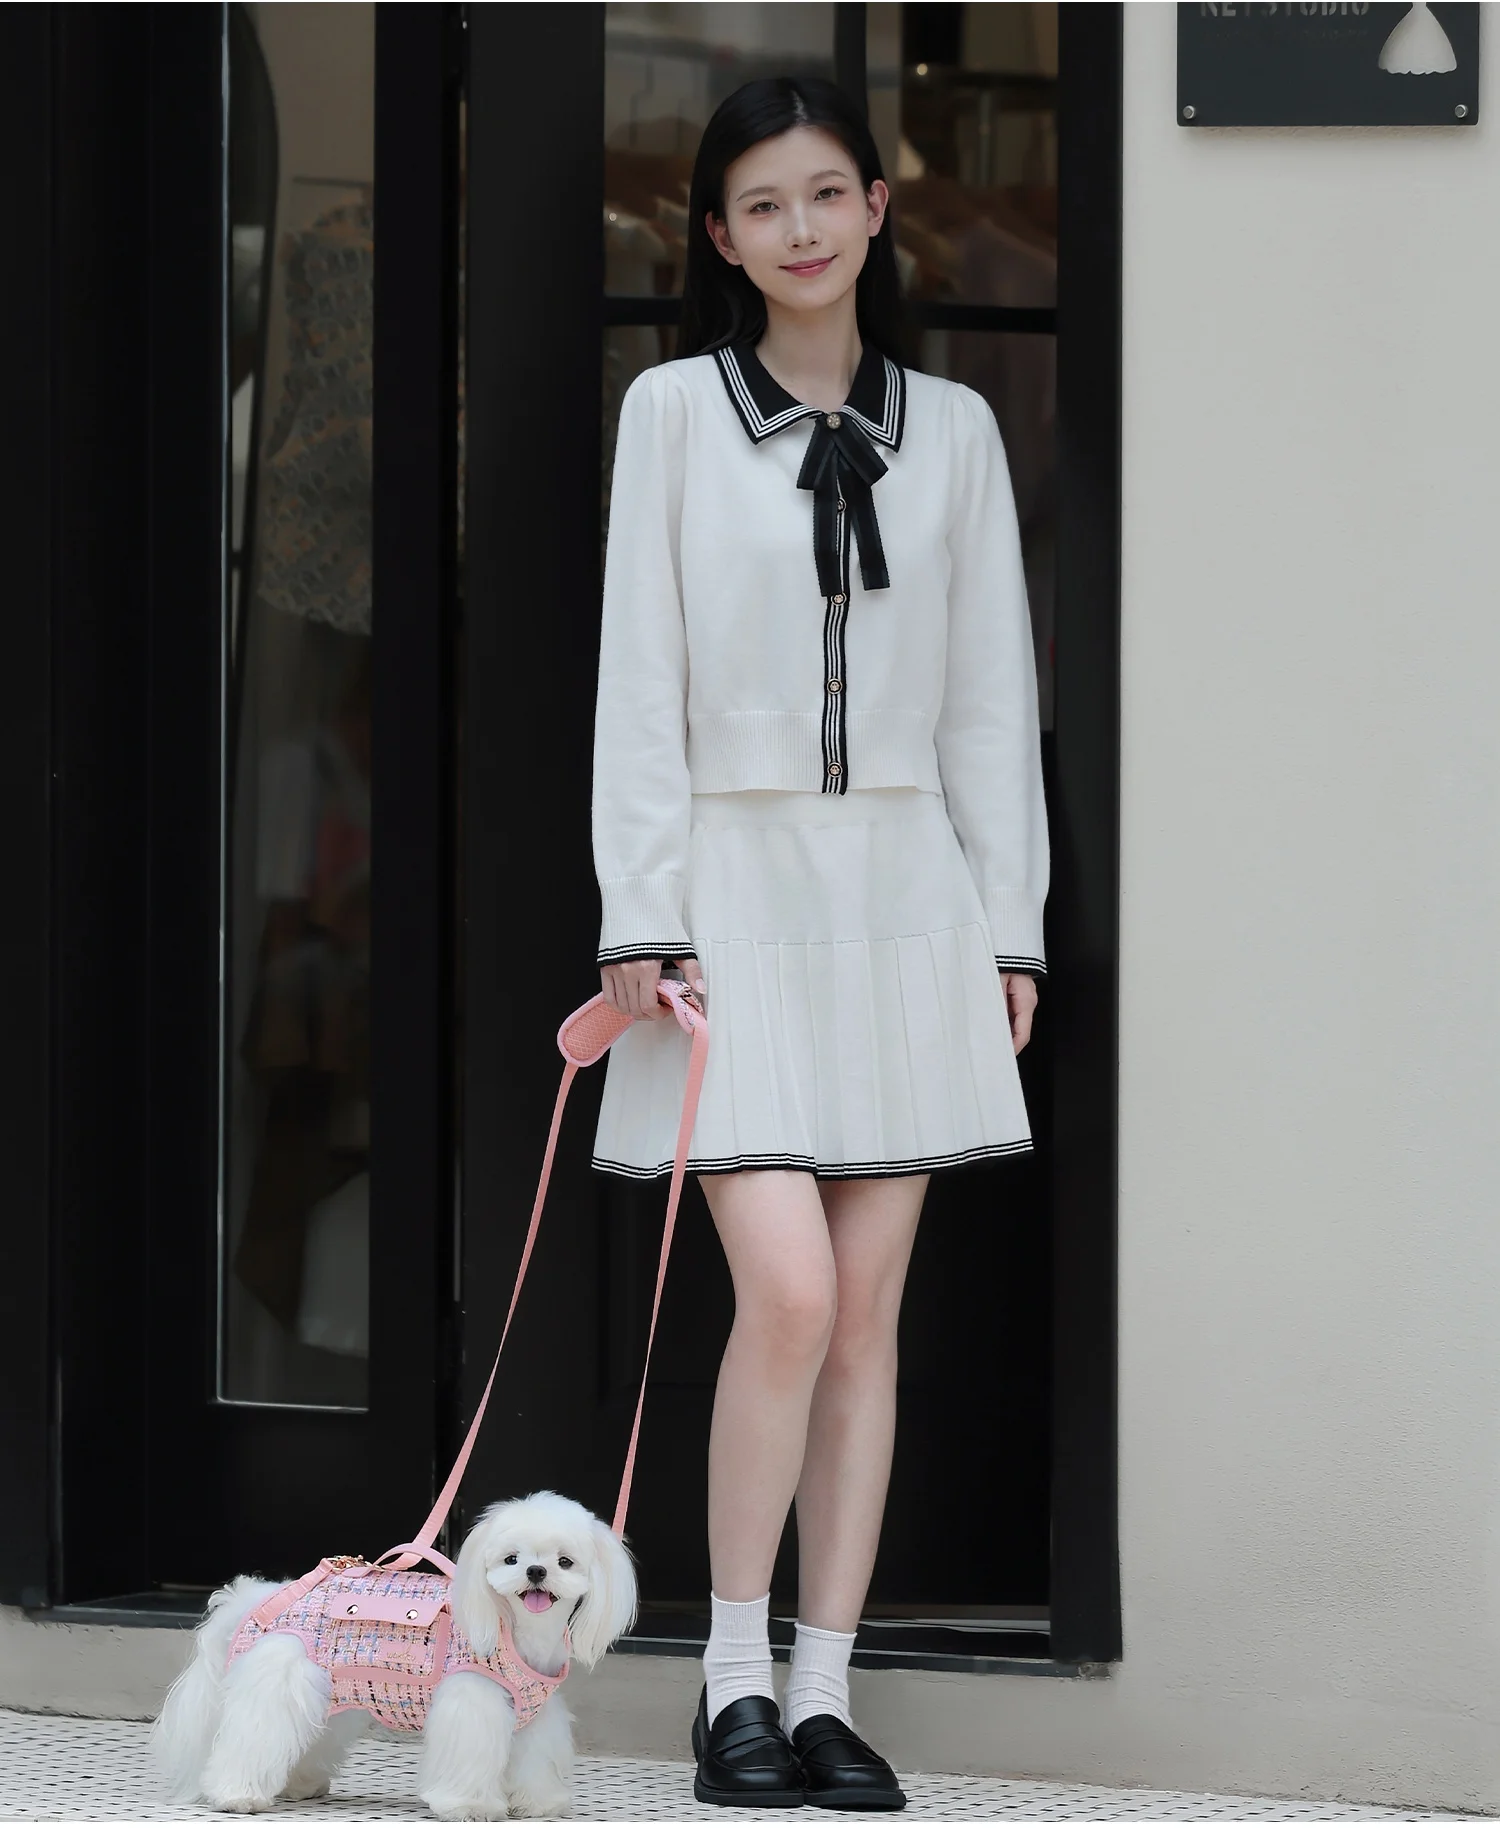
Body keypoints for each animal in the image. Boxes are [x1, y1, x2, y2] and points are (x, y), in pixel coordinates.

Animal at [150, 1491, 638, 1820]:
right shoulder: (472, 1701)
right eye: (512, 1559)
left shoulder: (535, 1712)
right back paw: (237, 1794)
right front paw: (469, 1805)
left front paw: (539, 1802)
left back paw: (298, 1784)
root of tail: (265, 1597)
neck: (515, 1631)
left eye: (565, 1562)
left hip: (331, 1692)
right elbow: (470, 1755)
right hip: (283, 1678)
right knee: (254, 1735)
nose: (536, 1571)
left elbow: (535, 1758)